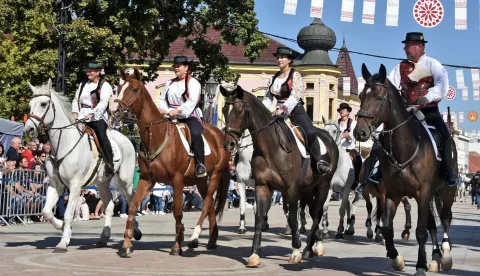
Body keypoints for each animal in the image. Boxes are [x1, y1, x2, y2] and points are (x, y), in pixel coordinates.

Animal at [23, 79, 141, 252]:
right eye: (30, 104)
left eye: (44, 104)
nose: (29, 129)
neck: (64, 143)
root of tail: (125, 138)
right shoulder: (56, 184)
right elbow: (47, 212)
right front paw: (61, 226)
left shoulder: (75, 185)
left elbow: (67, 214)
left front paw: (63, 242)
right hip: (103, 182)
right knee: (109, 206)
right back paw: (104, 237)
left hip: (125, 180)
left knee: (132, 200)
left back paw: (136, 232)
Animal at [114, 68, 231, 256]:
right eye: (118, 88)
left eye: (134, 89)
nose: (115, 112)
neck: (157, 135)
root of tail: (220, 135)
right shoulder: (147, 179)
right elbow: (132, 206)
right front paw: (126, 245)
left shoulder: (177, 180)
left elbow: (177, 212)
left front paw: (177, 245)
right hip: (201, 181)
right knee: (210, 206)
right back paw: (212, 240)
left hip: (214, 175)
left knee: (207, 203)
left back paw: (194, 239)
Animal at [218, 85, 338, 266]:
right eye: (225, 110)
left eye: (238, 110)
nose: (228, 143)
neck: (271, 147)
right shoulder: (262, 186)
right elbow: (259, 216)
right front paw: (254, 254)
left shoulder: (291, 188)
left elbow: (293, 217)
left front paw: (295, 251)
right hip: (307, 188)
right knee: (312, 211)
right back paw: (313, 247)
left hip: (323, 186)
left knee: (317, 213)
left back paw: (309, 248)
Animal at [354, 63, 460, 274]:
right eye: (361, 95)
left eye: (380, 98)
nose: (360, 131)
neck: (406, 148)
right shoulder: (393, 193)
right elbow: (388, 228)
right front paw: (397, 259)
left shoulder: (423, 192)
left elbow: (420, 231)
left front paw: (419, 265)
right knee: (432, 224)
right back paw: (435, 256)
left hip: (446, 191)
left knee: (445, 218)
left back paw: (445, 255)